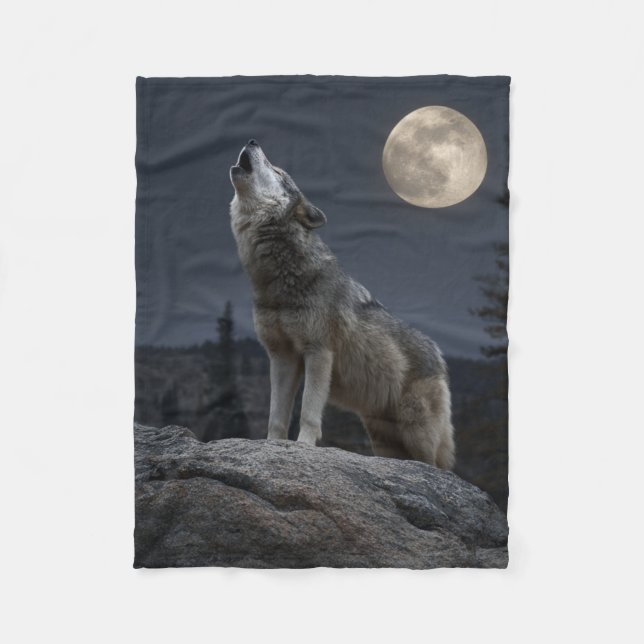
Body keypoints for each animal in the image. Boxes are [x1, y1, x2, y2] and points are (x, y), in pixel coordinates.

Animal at [229, 140, 455, 469]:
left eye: (278, 170)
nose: (252, 141)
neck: (277, 281)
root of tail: (439, 355)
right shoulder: (282, 357)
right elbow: (276, 416)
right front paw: (272, 447)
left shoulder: (318, 352)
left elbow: (309, 412)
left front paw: (303, 447)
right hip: (382, 438)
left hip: (417, 432)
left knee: (437, 467)